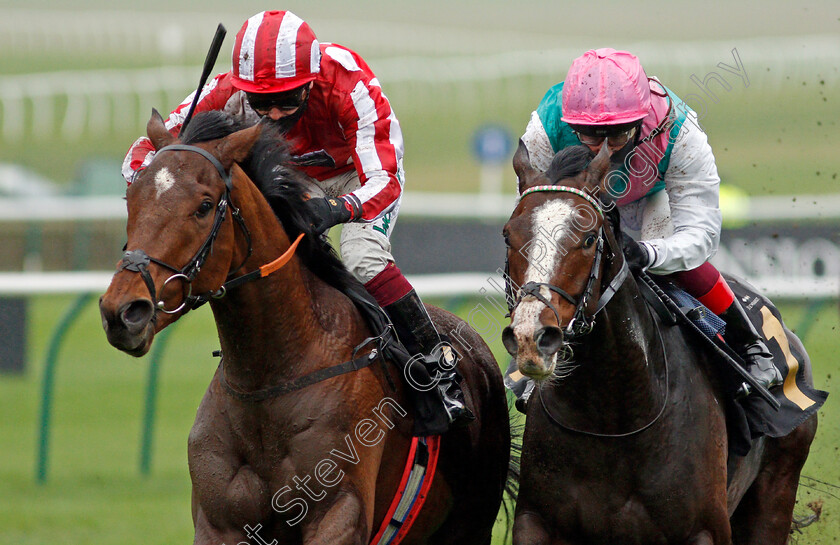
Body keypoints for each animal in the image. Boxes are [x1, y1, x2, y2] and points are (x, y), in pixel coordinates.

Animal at [97, 110, 512, 544]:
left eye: (204, 206)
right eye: (131, 199)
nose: (124, 312)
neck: (268, 381)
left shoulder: (339, 512)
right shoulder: (219, 523)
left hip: (468, 524)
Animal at [502, 141, 816, 544]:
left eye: (589, 239)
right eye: (508, 235)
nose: (531, 337)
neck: (613, 417)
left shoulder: (705, 529)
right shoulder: (536, 521)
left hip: (776, 492)